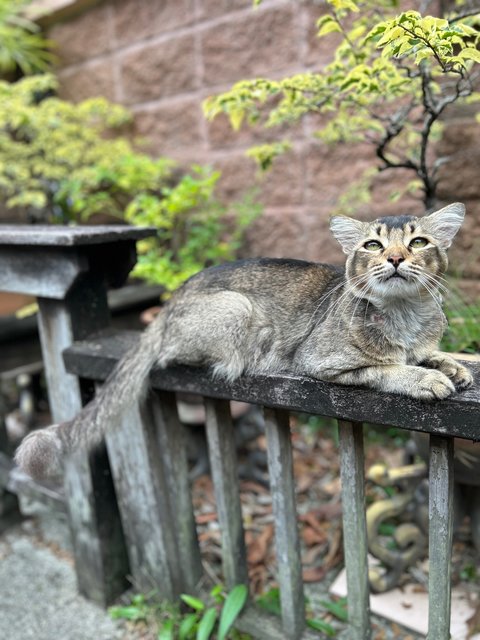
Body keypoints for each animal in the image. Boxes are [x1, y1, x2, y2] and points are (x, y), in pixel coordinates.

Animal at [14, 202, 472, 478]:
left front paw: (450, 365)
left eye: (418, 242)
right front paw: (423, 378)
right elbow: (386, 367)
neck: (404, 315)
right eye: (373, 245)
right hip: (237, 309)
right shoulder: (319, 361)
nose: (394, 259)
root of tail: (170, 301)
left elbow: (429, 354)